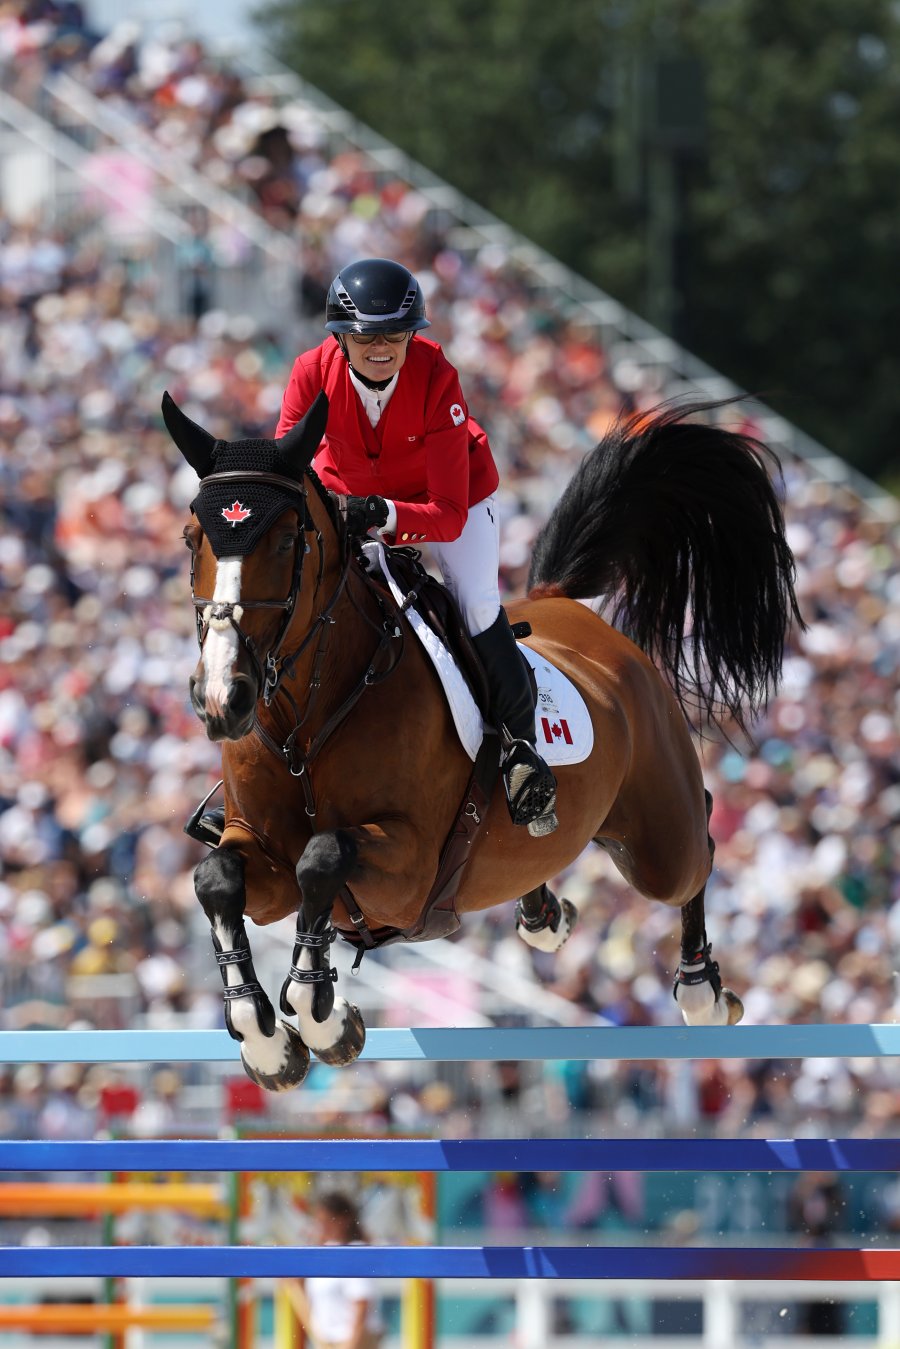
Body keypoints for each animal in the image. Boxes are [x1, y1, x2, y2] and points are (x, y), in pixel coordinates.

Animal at [161, 393, 804, 1089]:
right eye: (193, 539)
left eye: (285, 540)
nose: (223, 698)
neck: (305, 717)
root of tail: (573, 613)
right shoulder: (262, 855)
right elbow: (218, 876)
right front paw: (267, 1043)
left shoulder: (407, 871)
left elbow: (323, 857)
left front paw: (323, 1021)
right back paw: (547, 916)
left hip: (657, 846)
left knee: (697, 849)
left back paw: (703, 992)